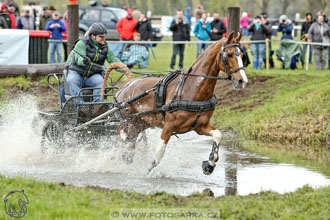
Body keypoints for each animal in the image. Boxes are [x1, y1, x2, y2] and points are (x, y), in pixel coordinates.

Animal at [100, 31, 248, 175]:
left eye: (242, 55)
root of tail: (130, 82)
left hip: (141, 121)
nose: (242, 81)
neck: (193, 88)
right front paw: (146, 173)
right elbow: (158, 155)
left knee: (130, 136)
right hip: (127, 118)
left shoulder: (200, 126)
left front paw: (209, 164)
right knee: (121, 131)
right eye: (230, 54)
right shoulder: (168, 126)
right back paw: (126, 147)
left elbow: (218, 135)